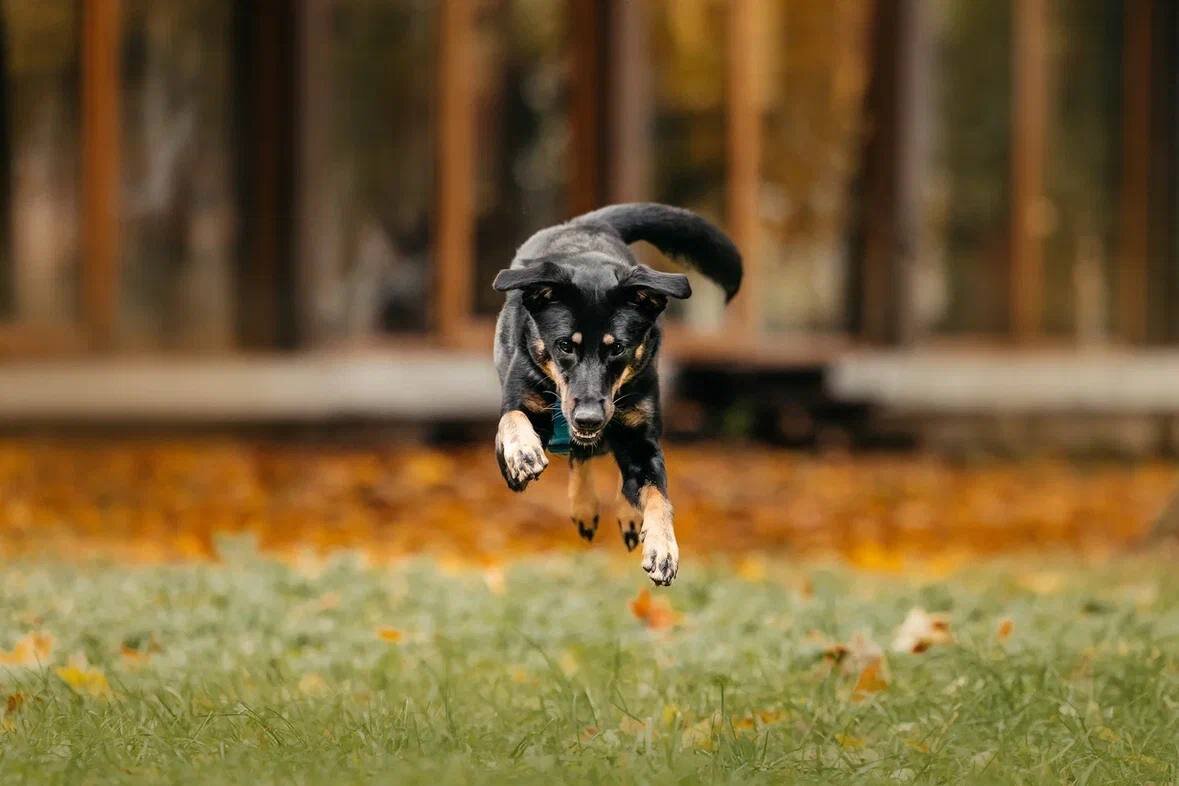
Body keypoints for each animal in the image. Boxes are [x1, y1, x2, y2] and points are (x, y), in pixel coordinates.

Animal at [492, 202, 740, 584]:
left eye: (618, 348)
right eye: (565, 345)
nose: (589, 418)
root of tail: (588, 222)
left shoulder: (642, 439)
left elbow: (657, 492)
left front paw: (662, 547)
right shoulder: (519, 401)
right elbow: (514, 418)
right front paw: (523, 451)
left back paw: (627, 514)